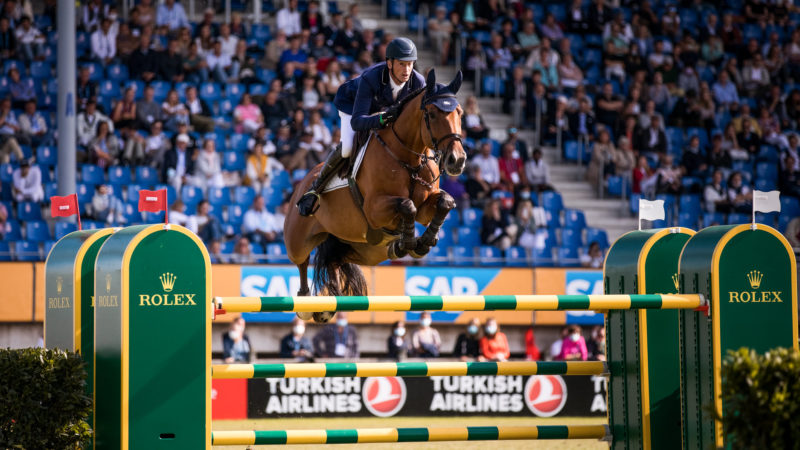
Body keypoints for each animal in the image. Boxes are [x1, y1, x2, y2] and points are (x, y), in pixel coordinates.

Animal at [284, 68, 468, 322]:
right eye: (431, 114)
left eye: (459, 113)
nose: (456, 160)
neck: (408, 158)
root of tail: (301, 184)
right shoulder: (374, 209)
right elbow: (407, 205)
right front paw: (410, 241)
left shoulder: (425, 206)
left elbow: (444, 202)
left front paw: (424, 240)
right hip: (297, 239)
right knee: (301, 260)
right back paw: (306, 303)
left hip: (365, 249)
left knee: (335, 260)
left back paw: (330, 300)